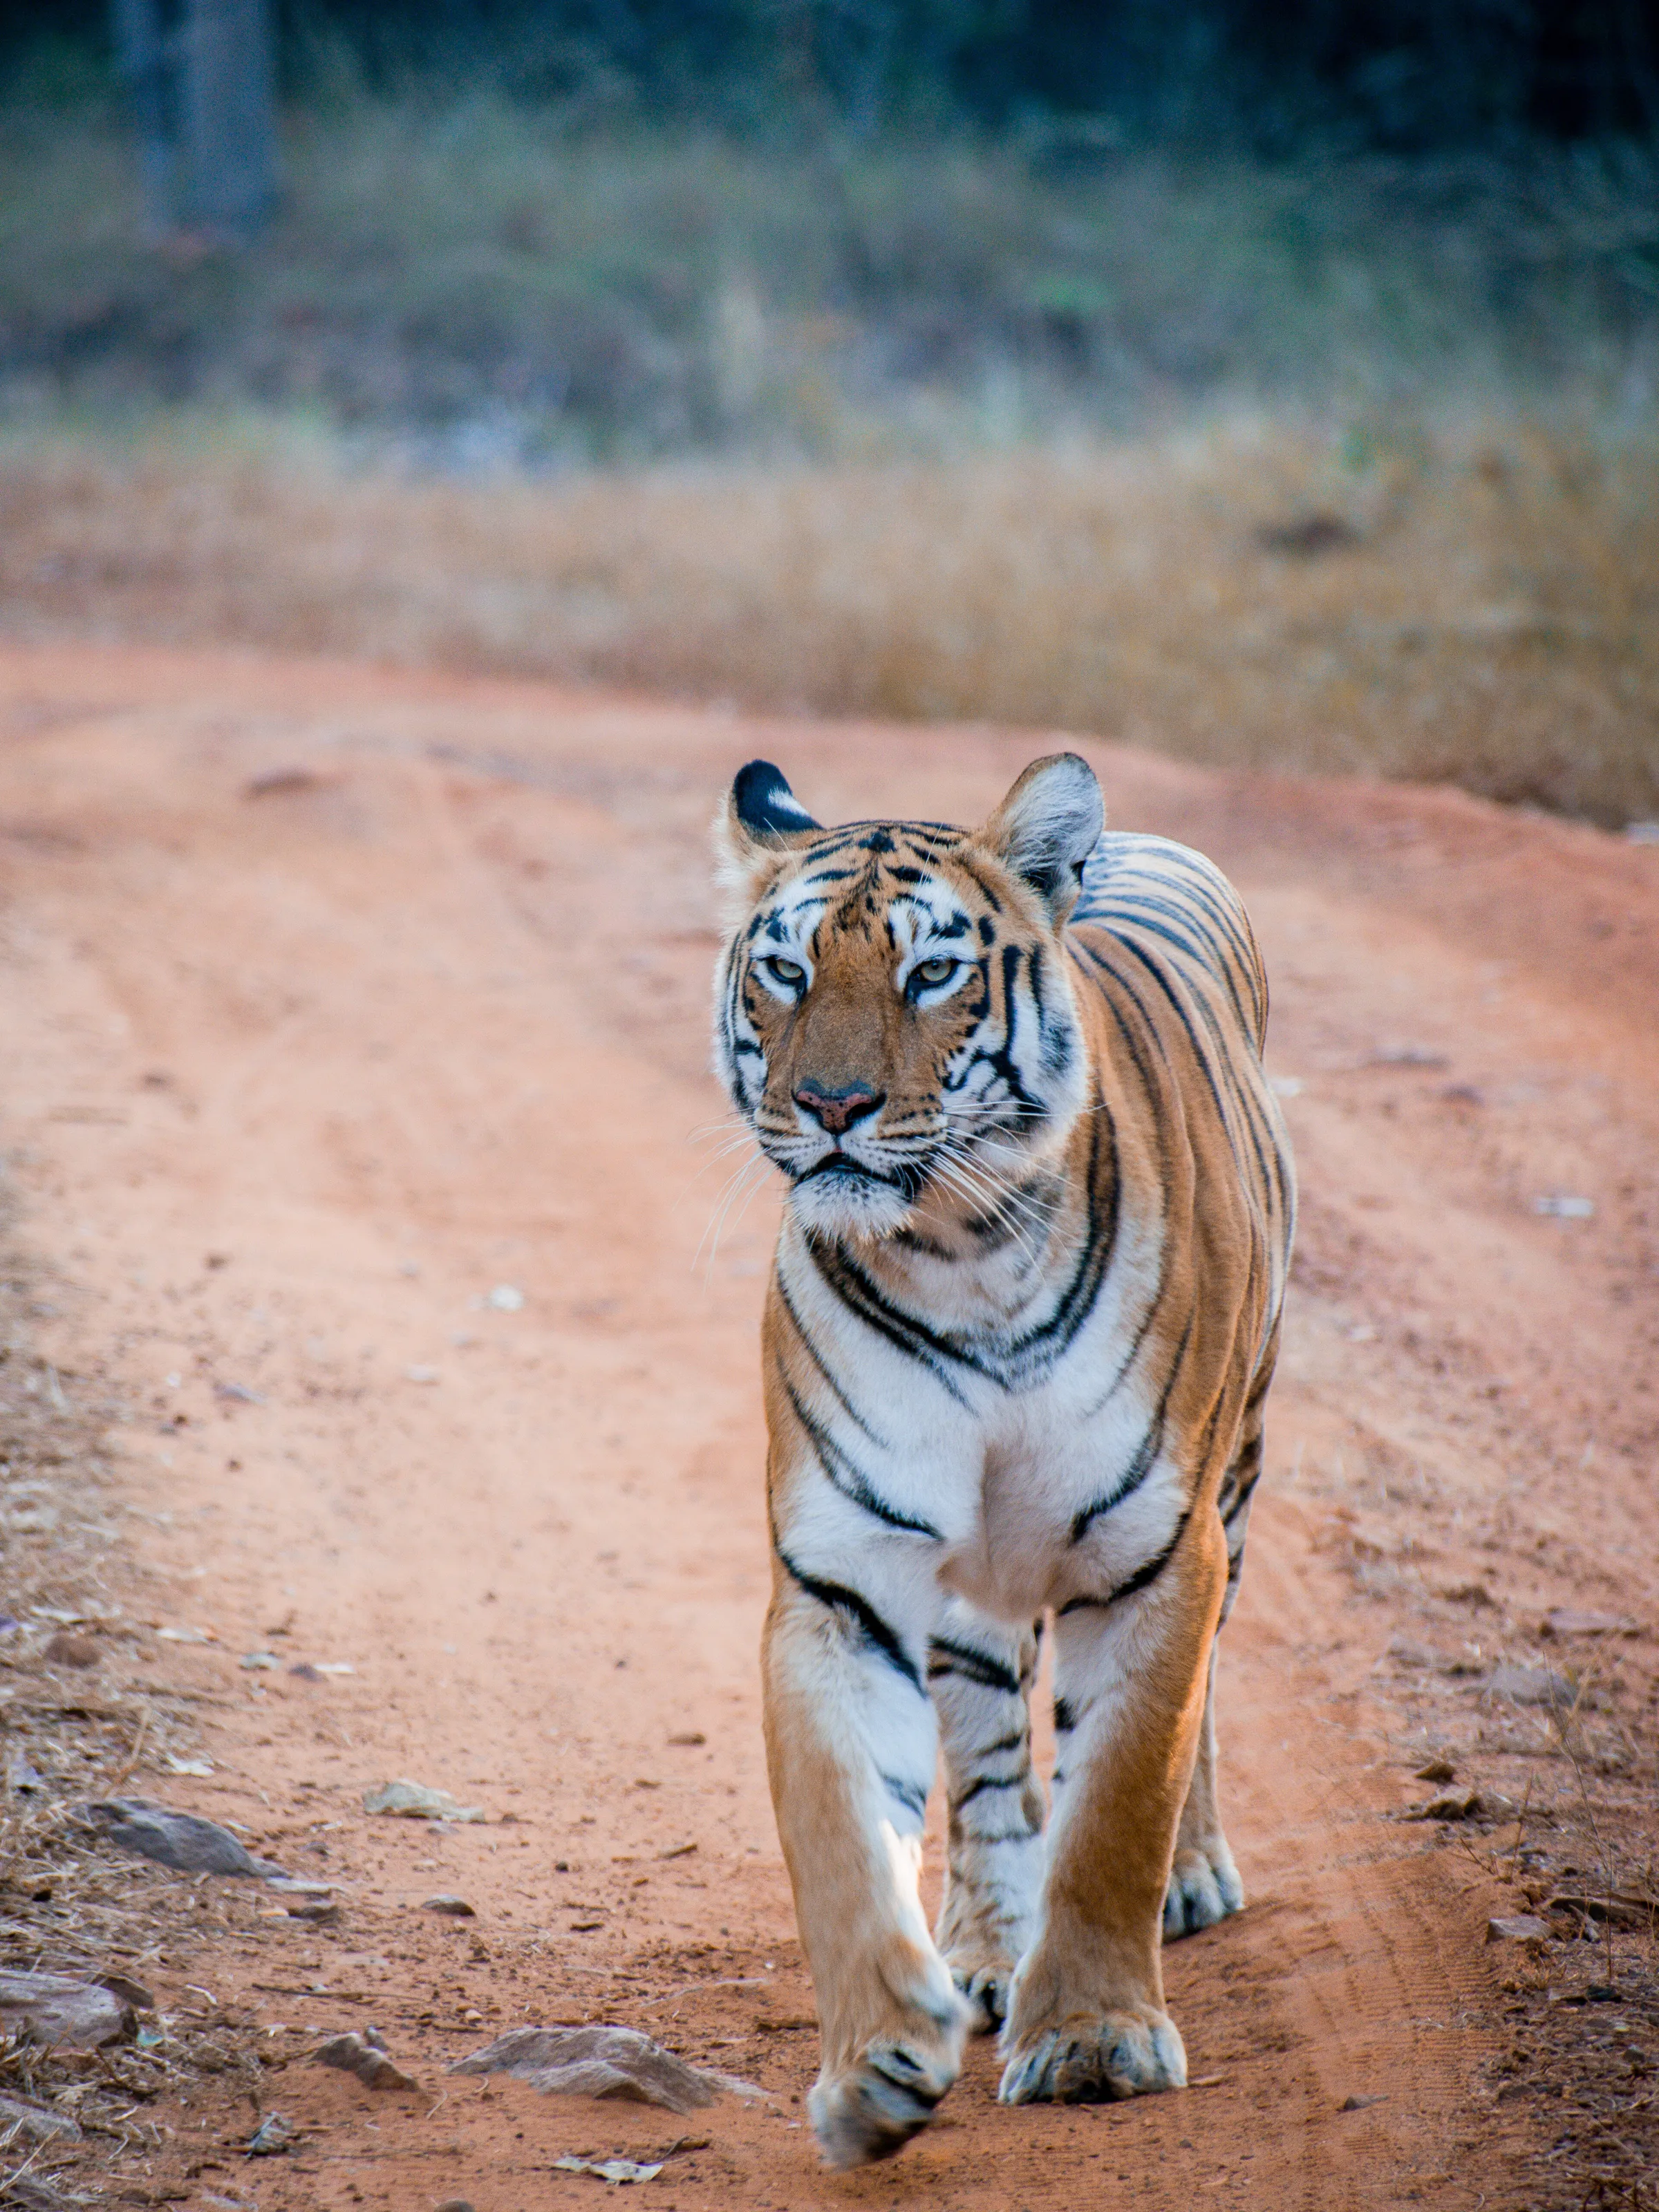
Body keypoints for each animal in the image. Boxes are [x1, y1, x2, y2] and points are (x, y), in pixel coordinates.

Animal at [711, 751, 1294, 2169]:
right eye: (786, 969)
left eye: (932, 973)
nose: (831, 1108)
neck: (958, 1250)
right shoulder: (843, 1575)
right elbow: (843, 1834)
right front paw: (875, 2066)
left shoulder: (1155, 1553)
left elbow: (1119, 1802)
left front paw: (1092, 2043)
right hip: (972, 1593)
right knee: (984, 1763)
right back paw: (983, 1948)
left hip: (1237, 1479)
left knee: (1188, 1718)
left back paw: (1189, 1880)